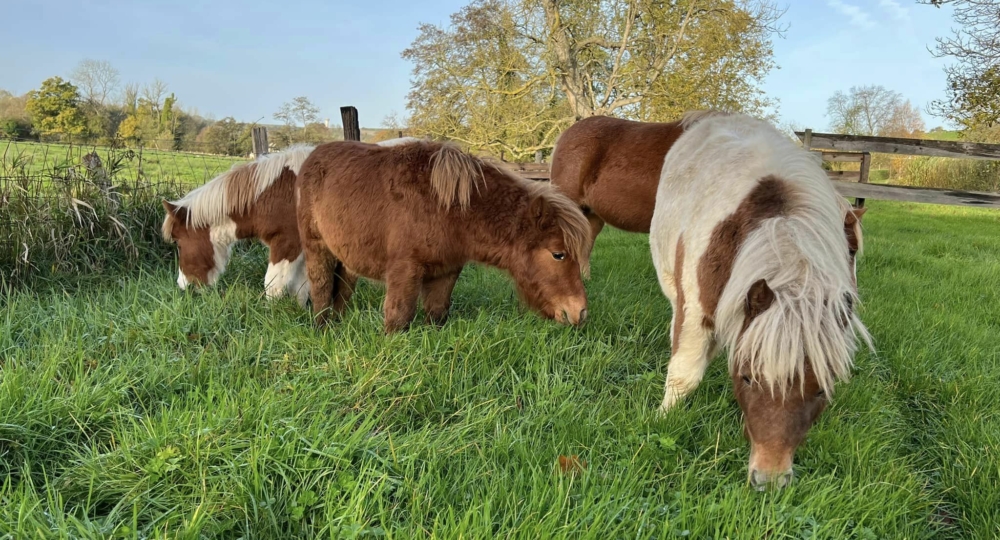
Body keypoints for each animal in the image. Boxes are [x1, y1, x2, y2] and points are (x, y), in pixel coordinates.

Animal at [162, 137, 420, 306]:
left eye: (178, 243)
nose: (183, 286)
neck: (275, 193)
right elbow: (302, 286)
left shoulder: (287, 244)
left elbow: (273, 285)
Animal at [296, 139, 592, 334]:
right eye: (558, 254)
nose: (580, 312)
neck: (448, 209)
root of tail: (312, 155)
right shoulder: (405, 270)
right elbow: (398, 317)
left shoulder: (446, 271)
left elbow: (437, 313)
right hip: (317, 249)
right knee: (321, 289)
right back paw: (322, 330)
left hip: (347, 258)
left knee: (342, 291)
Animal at [648, 110, 876, 490]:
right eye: (747, 379)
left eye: (820, 390)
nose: (769, 479)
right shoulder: (695, 311)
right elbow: (684, 373)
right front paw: (662, 419)